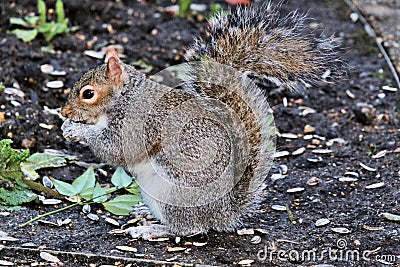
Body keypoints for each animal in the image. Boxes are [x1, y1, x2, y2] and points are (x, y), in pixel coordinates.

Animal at [61, 3, 340, 240]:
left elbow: (115, 151)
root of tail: (224, 212)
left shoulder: (137, 124)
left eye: (88, 93)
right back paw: (145, 213)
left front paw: (77, 131)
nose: (64, 112)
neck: (126, 98)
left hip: (173, 191)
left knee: (190, 228)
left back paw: (153, 230)